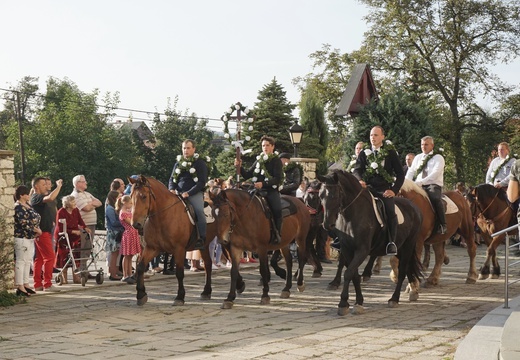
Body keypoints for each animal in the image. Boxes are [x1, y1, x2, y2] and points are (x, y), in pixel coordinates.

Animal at [131, 176, 218, 306]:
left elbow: (180, 273)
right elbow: (140, 266)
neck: (163, 216)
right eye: (131, 196)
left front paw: (180, 297)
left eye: (144, 196)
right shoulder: (152, 248)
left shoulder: (179, 249)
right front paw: (141, 294)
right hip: (205, 245)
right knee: (208, 264)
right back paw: (206, 292)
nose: (136, 224)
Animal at [316, 171, 422, 316]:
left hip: (408, 246)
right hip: (400, 248)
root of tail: (414, 207)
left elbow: (348, 273)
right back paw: (413, 290)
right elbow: (354, 274)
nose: (327, 225)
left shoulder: (362, 250)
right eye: (320, 196)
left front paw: (343, 303)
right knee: (407, 268)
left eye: (335, 195)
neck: (351, 216)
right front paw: (358, 302)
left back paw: (394, 299)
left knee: (402, 271)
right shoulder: (347, 249)